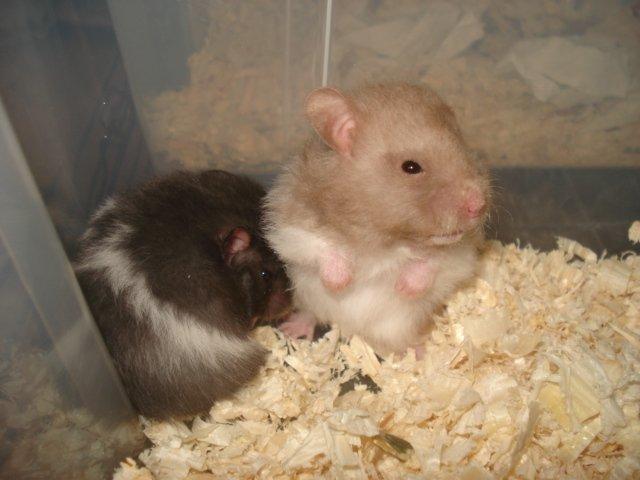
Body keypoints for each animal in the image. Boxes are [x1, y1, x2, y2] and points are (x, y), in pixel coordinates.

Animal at [264, 83, 490, 355]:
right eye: (411, 167)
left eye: (463, 150)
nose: (479, 205)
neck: (383, 237)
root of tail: (348, 329)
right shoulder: (290, 219)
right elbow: (319, 247)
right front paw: (341, 282)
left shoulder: (463, 251)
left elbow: (436, 262)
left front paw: (403, 287)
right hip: (307, 298)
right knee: (310, 314)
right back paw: (291, 330)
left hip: (399, 326)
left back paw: (420, 353)